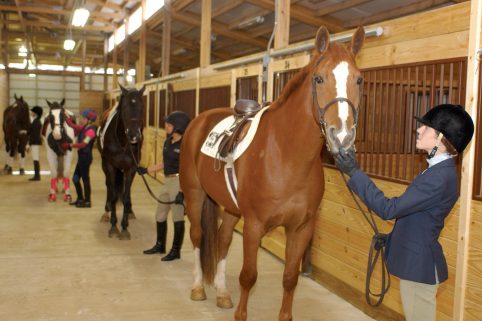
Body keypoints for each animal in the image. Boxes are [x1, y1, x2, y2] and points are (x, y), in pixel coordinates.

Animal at [97, 84, 144, 239]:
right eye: (124, 107)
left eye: (142, 106)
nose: (134, 135)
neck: (123, 142)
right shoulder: (110, 166)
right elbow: (112, 195)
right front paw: (113, 226)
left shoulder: (131, 168)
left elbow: (126, 196)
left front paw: (124, 227)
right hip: (105, 166)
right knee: (109, 186)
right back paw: (106, 211)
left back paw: (130, 212)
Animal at [181, 25, 366, 320]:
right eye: (318, 79)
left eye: (359, 80)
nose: (343, 136)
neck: (287, 156)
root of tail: (200, 120)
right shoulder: (254, 225)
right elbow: (248, 276)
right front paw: (241, 314)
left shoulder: (301, 229)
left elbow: (290, 278)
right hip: (194, 194)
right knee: (198, 235)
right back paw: (198, 287)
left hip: (231, 208)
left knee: (222, 240)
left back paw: (221, 292)